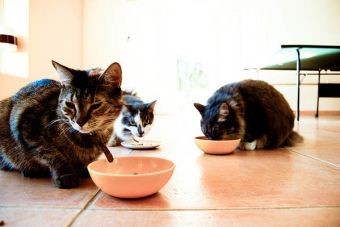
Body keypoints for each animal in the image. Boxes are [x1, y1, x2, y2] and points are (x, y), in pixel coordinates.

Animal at [0, 60, 122, 188]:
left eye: (96, 105)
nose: (79, 121)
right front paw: (66, 174)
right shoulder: (29, 132)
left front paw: (84, 169)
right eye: (70, 104)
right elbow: (52, 154)